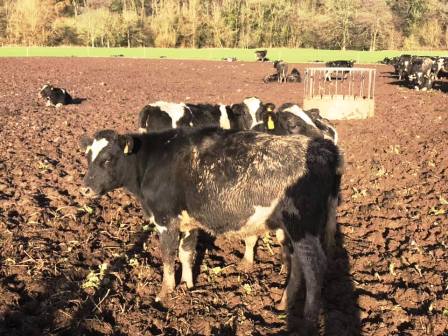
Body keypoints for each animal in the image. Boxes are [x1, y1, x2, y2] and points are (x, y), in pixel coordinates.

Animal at [80, 126, 344, 334]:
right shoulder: (188, 223)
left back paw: (308, 320)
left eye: (108, 159)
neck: (152, 161)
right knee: (299, 263)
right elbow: (186, 254)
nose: (85, 188)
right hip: (292, 229)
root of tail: (326, 149)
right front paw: (188, 287)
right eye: (88, 157)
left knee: (314, 266)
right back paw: (285, 302)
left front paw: (164, 294)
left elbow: (168, 258)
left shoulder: (166, 221)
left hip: (302, 227)